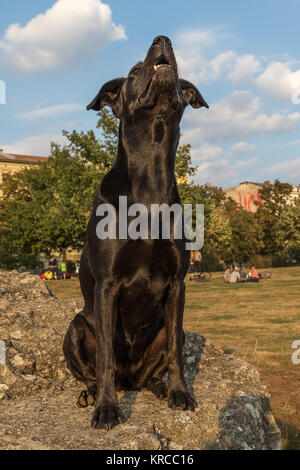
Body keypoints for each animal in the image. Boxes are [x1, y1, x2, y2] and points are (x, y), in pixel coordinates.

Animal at [63, 35, 209, 430]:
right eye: (132, 72)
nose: (162, 39)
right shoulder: (107, 285)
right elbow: (105, 360)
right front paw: (106, 409)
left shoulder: (177, 285)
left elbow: (175, 351)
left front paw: (179, 393)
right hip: (76, 327)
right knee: (97, 371)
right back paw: (91, 394)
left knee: (153, 369)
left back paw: (158, 387)